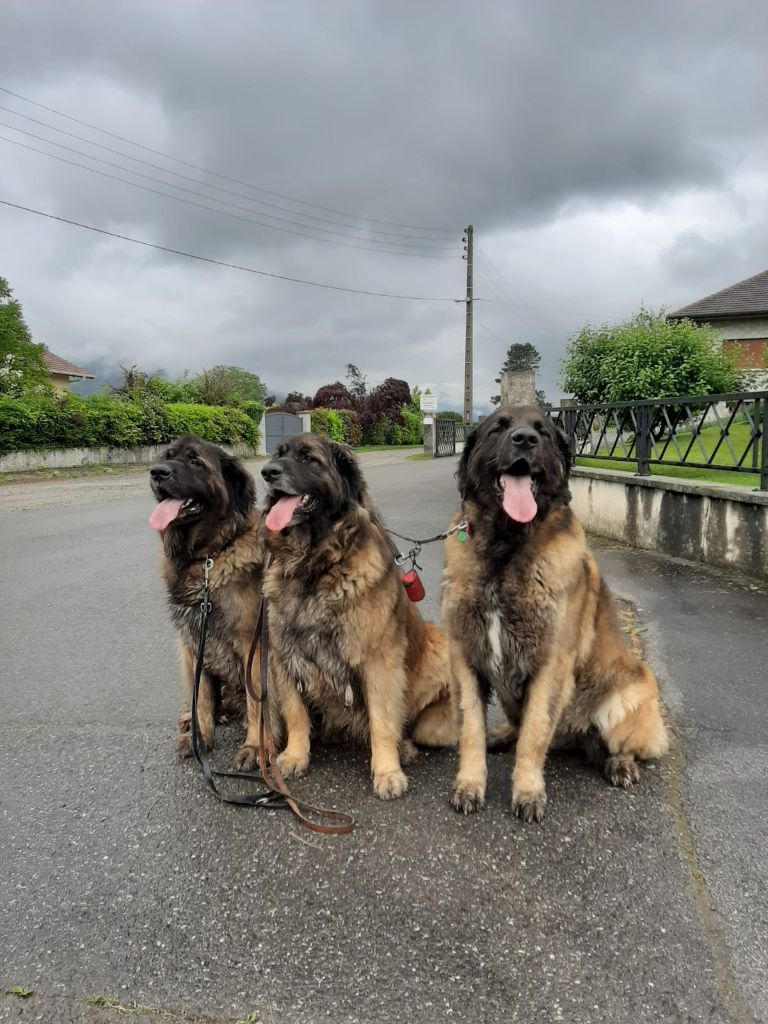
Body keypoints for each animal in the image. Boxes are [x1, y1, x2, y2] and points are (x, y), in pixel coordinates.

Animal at [259, 432, 456, 798]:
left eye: (309, 458)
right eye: (278, 454)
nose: (267, 472)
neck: (316, 565)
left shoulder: (378, 660)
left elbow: (382, 720)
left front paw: (387, 772)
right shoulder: (285, 656)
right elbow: (295, 713)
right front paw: (294, 755)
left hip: (438, 646)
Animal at [442, 403, 671, 819]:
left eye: (543, 432)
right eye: (498, 428)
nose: (524, 440)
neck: (506, 549)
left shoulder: (550, 666)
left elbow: (535, 733)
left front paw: (528, 791)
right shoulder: (465, 657)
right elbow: (471, 729)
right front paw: (470, 784)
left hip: (632, 692)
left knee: (620, 744)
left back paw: (620, 764)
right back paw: (502, 734)